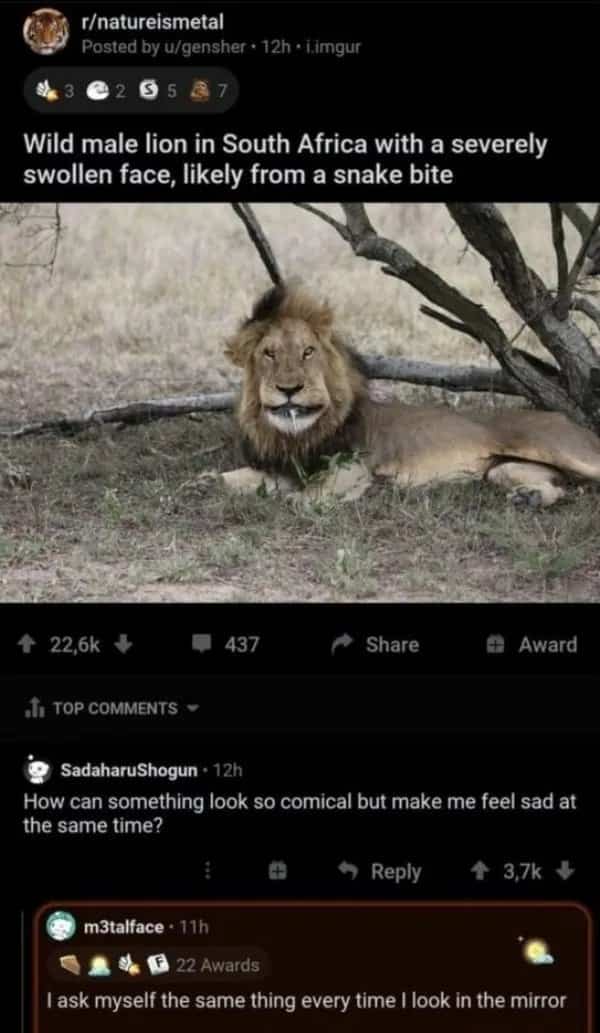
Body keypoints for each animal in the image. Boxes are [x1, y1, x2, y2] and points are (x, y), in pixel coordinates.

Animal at [222, 285, 600, 507]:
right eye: (269, 354)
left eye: (307, 352)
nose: (288, 389)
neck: (295, 436)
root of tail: (565, 417)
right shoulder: (280, 467)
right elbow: (226, 480)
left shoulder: (354, 466)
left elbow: (304, 497)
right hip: (502, 470)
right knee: (560, 487)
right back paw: (530, 497)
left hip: (558, 447)